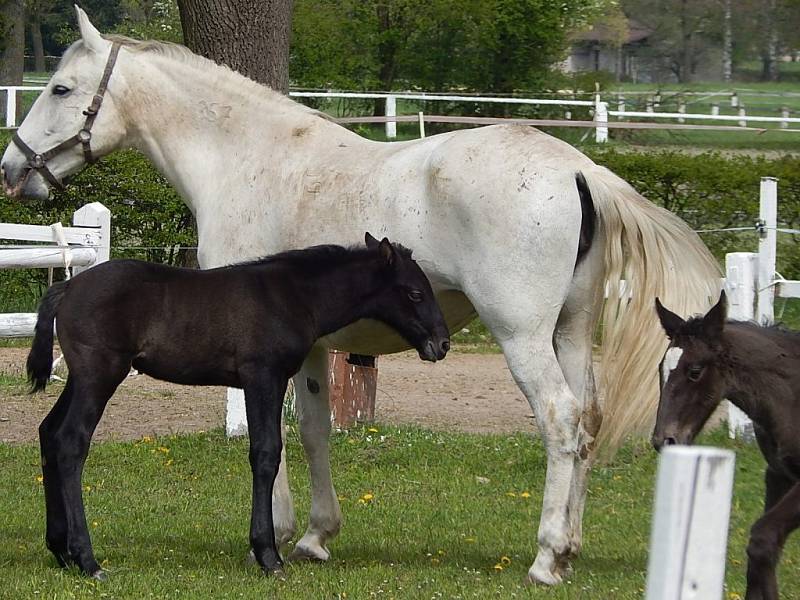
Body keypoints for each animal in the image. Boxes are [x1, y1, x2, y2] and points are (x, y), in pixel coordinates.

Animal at [28, 233, 450, 576]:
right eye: (415, 293)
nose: (442, 343)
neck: (294, 296)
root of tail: (67, 287)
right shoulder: (263, 375)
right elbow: (265, 453)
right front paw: (268, 556)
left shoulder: (264, 381)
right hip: (100, 375)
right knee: (71, 441)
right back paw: (87, 560)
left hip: (82, 378)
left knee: (49, 432)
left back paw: (61, 551)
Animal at [652, 292, 800, 600]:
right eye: (661, 368)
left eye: (695, 371)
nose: (664, 440)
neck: (794, 397)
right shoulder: (778, 474)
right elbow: (765, 552)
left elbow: (762, 539)